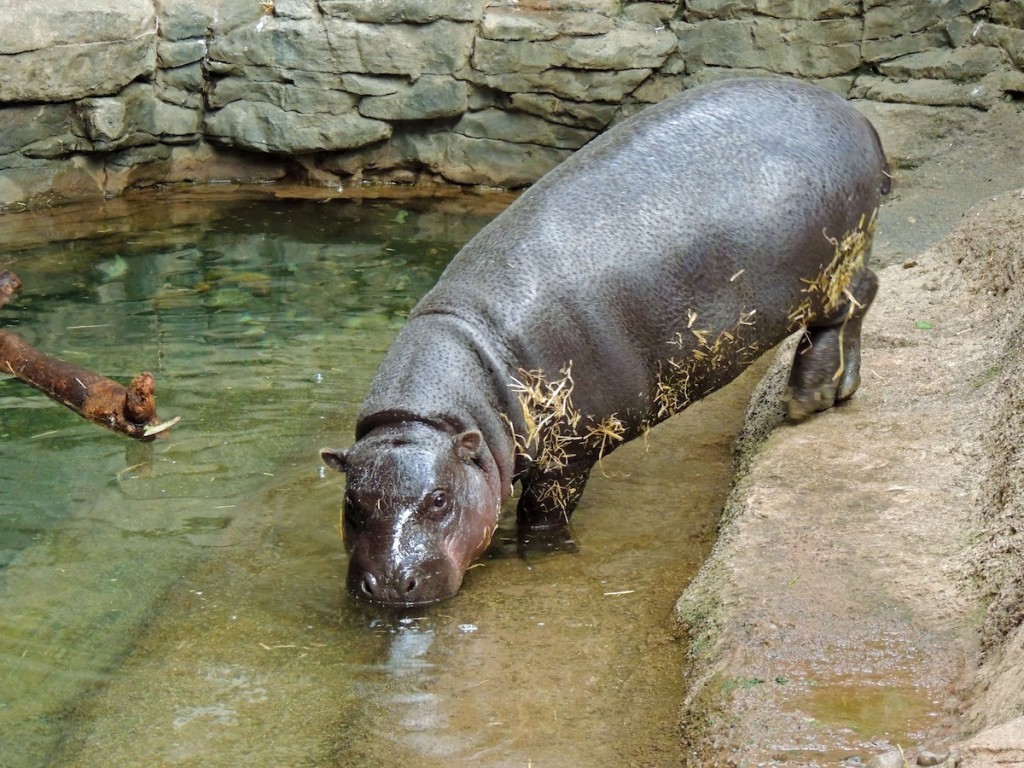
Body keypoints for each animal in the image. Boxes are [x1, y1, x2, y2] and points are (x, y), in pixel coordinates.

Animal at [319, 76, 888, 606]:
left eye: (439, 500)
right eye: (351, 506)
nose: (389, 583)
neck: (441, 414)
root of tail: (857, 118)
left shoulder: (568, 454)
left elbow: (541, 514)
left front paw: (533, 552)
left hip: (831, 270)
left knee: (857, 298)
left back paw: (808, 399)